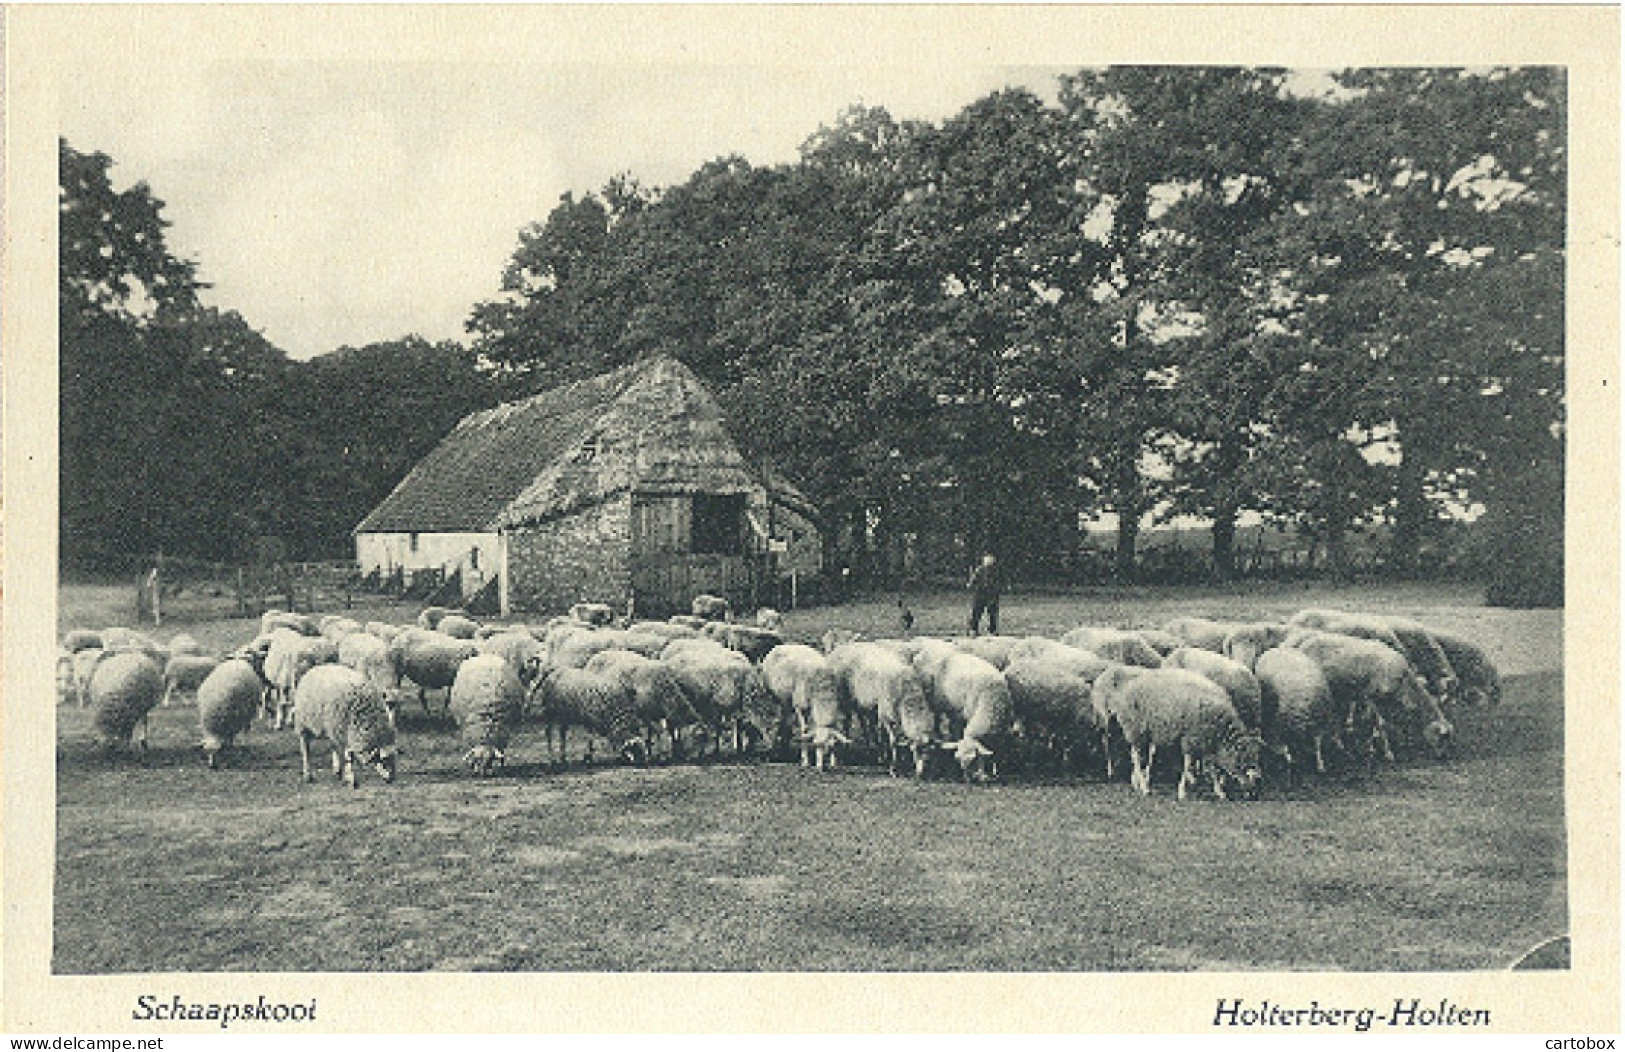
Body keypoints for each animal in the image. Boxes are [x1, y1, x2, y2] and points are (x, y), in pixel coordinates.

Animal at [763, 640, 851, 773]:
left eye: (831, 747)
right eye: (816, 745)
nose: (821, 768)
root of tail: (787, 644)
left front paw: (833, 763)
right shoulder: (801, 707)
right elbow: (804, 731)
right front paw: (805, 761)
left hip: (787, 701)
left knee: (786, 721)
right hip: (777, 698)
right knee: (780, 720)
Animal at [832, 637, 936, 777]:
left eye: (928, 753)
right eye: (915, 750)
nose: (920, 774)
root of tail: (841, 647)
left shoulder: (883, 713)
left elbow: (883, 735)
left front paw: (887, 757)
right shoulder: (886, 716)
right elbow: (893, 741)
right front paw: (893, 768)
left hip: (863, 702)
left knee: (864, 723)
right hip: (844, 700)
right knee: (846, 722)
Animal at [1098, 663, 1261, 803]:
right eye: (1243, 762)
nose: (1253, 794)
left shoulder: (1206, 741)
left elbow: (1212, 767)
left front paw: (1219, 791)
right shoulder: (1190, 738)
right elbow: (1188, 764)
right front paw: (1182, 791)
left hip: (1146, 730)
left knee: (1139, 753)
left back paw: (1138, 781)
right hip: (1135, 727)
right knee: (1136, 755)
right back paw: (1144, 786)